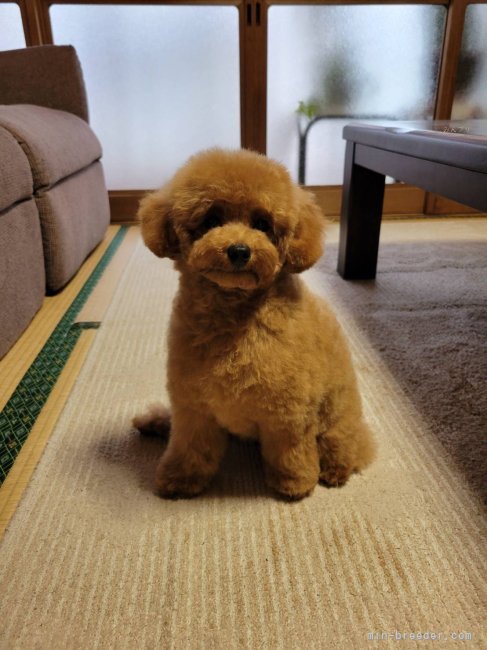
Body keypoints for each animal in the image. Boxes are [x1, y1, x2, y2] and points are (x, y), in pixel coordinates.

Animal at [134, 148, 375, 499]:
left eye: (263, 224)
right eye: (212, 220)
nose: (239, 250)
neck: (234, 320)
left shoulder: (288, 409)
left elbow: (289, 450)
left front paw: (295, 482)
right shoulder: (192, 405)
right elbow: (189, 446)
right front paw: (180, 478)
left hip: (338, 415)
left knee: (345, 443)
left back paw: (334, 469)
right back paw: (155, 422)